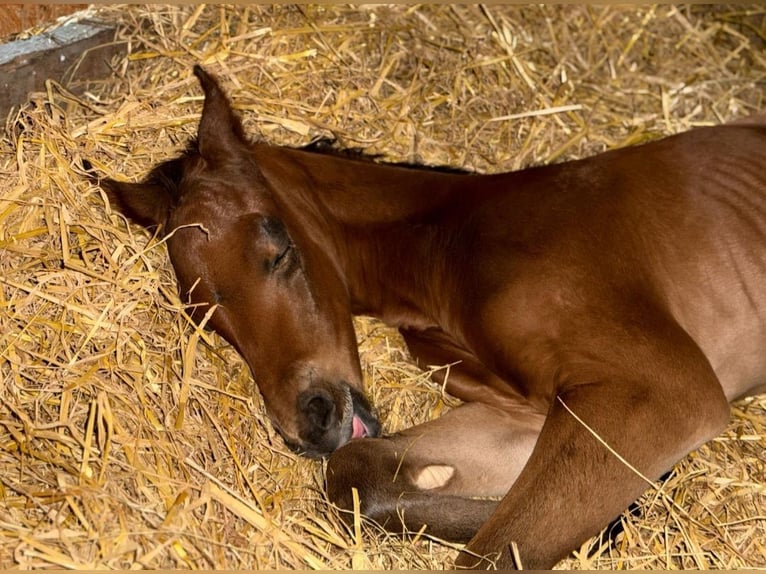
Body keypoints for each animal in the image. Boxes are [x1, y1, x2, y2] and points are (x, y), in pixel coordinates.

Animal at [93, 65, 766, 569]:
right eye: (203, 314)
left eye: (278, 247)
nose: (312, 421)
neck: (448, 248)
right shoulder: (529, 412)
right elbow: (358, 473)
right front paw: (613, 519)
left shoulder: (656, 391)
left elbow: (499, 552)